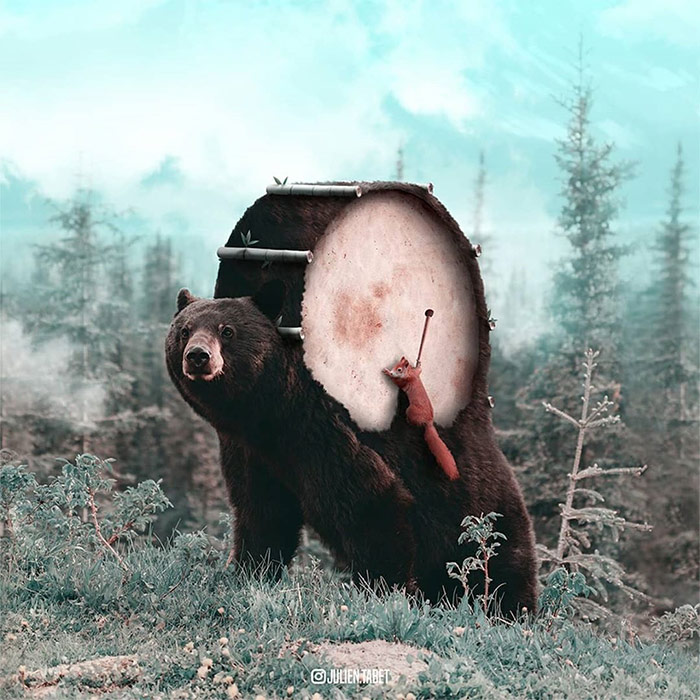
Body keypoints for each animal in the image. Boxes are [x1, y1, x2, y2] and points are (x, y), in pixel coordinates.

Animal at [165, 281, 538, 615]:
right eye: (184, 330)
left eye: (227, 331)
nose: (198, 356)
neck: (272, 415)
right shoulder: (250, 451)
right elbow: (261, 512)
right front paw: (246, 573)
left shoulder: (323, 432)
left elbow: (373, 503)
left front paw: (381, 594)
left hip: (481, 517)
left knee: (501, 571)